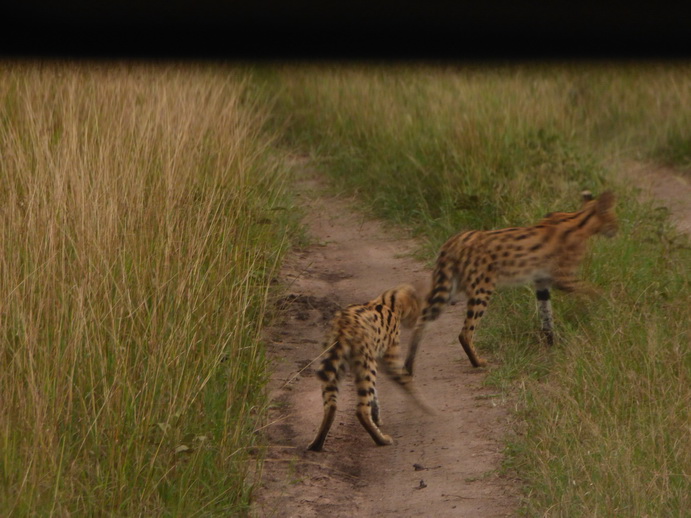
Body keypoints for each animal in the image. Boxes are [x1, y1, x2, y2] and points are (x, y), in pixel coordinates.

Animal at [308, 284, 432, 450]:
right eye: (417, 306)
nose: (416, 320)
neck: (388, 303)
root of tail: (343, 325)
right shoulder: (389, 358)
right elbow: (407, 381)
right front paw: (427, 407)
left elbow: (375, 396)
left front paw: (377, 417)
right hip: (367, 364)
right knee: (360, 410)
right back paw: (382, 440)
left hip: (336, 366)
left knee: (331, 406)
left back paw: (316, 444)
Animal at [402, 191, 620, 374]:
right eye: (613, 216)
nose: (617, 229)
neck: (580, 221)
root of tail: (453, 241)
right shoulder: (563, 278)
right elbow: (593, 290)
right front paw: (610, 303)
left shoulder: (542, 282)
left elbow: (546, 316)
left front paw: (551, 344)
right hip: (481, 288)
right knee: (464, 332)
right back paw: (478, 362)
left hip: (448, 287)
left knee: (422, 320)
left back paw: (409, 364)